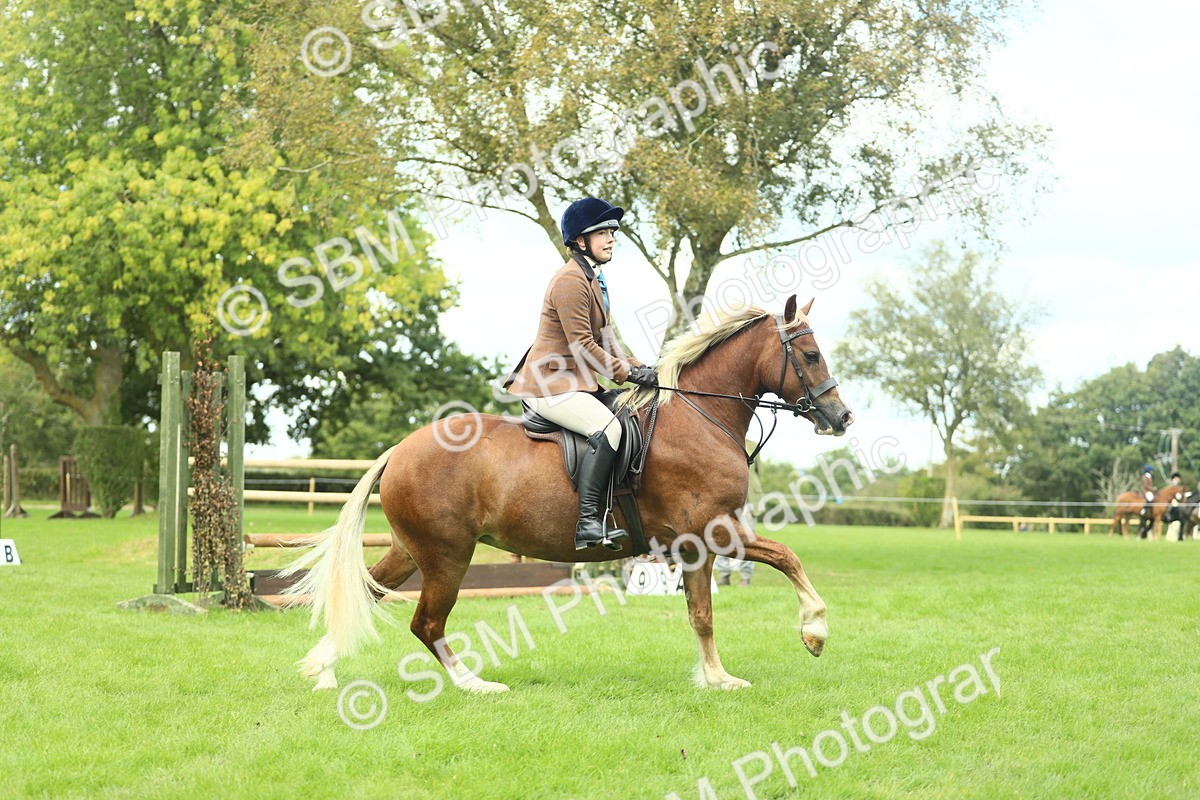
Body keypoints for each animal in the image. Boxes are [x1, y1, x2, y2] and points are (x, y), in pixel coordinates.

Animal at [282, 295, 854, 693]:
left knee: (371, 590)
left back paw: (322, 669)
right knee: (427, 624)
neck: (700, 415)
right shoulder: (714, 529)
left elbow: (702, 614)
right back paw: (476, 685)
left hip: (411, 549)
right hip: (448, 556)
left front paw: (717, 679)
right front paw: (815, 632)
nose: (842, 417)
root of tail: (399, 449)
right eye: (810, 354)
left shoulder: (696, 546)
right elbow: (787, 557)